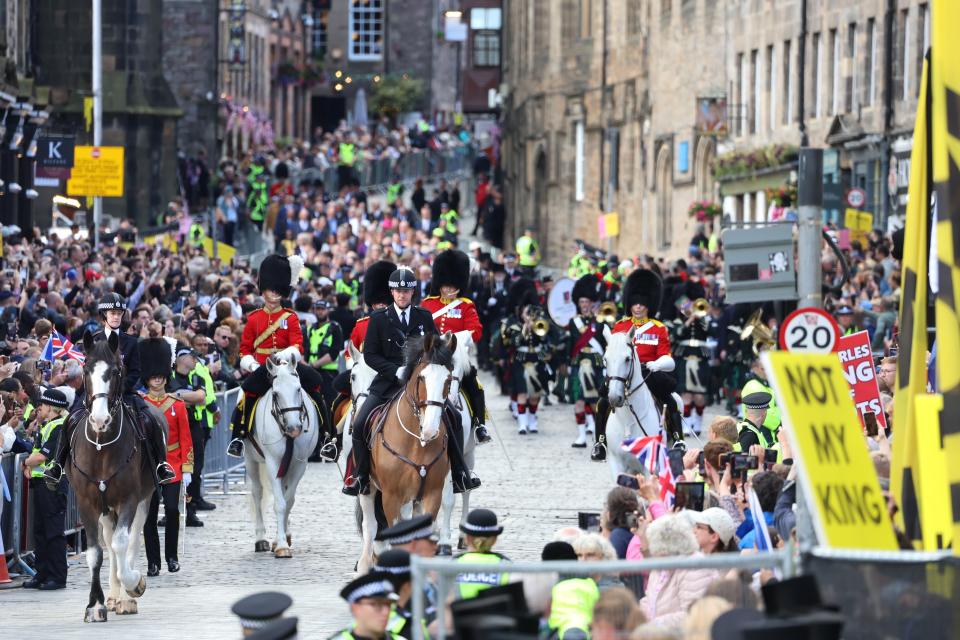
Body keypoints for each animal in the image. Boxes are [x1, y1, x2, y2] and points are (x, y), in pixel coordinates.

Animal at [66, 332, 164, 624]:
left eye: (116, 371)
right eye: (85, 370)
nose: (100, 419)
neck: (101, 447)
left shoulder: (129, 499)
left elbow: (123, 543)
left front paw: (134, 585)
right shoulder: (87, 503)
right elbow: (95, 552)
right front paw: (95, 605)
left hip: (142, 499)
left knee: (130, 539)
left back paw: (126, 596)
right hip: (105, 507)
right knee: (109, 543)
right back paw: (112, 596)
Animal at [244, 352, 318, 556]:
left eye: (299, 389)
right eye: (276, 394)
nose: (294, 429)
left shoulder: (300, 464)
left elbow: (288, 501)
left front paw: (282, 540)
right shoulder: (273, 462)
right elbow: (280, 503)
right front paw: (282, 545)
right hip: (250, 460)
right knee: (257, 493)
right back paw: (261, 539)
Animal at [356, 332, 458, 572]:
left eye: (448, 380)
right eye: (421, 378)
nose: (430, 430)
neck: (416, 444)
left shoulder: (432, 494)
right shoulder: (391, 497)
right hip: (368, 488)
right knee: (370, 525)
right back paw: (365, 563)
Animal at [604, 328, 664, 482]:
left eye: (627, 359)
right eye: (605, 359)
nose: (614, 398)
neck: (628, 420)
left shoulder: (650, 468)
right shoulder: (616, 463)